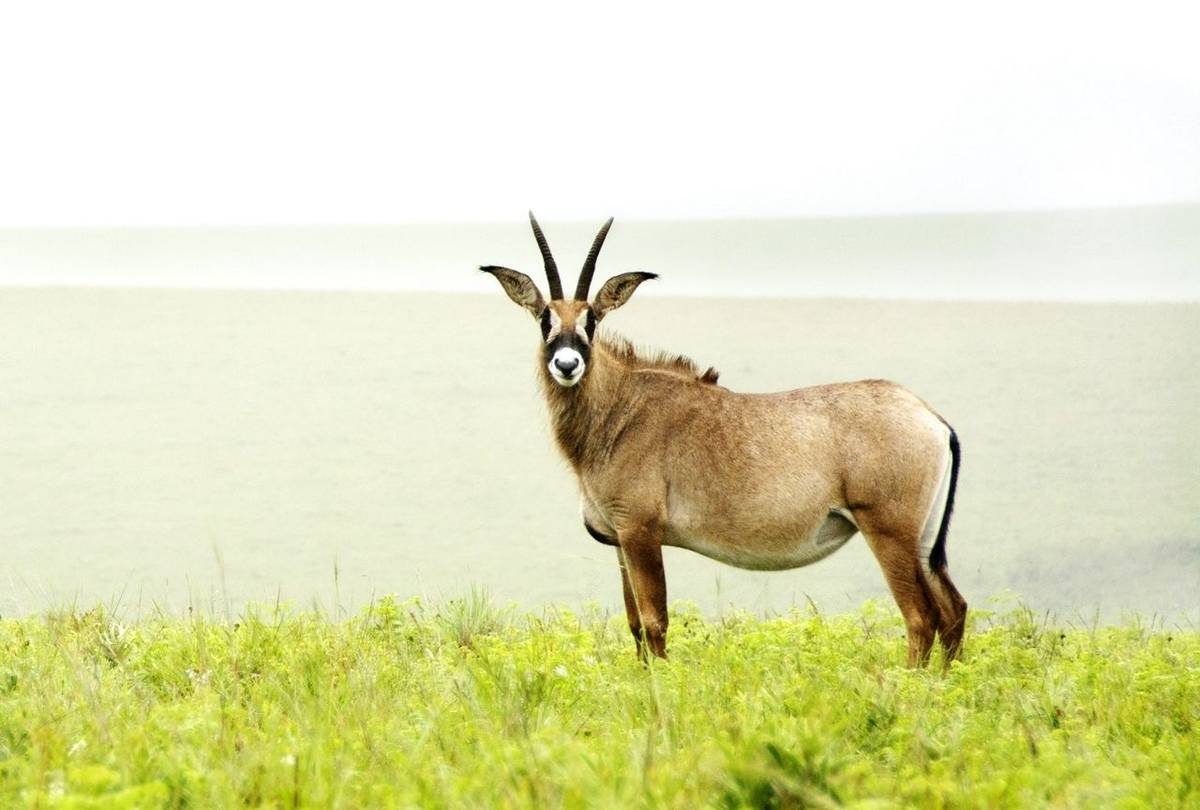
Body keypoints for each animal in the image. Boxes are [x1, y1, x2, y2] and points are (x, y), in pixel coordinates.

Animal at [477, 216, 964, 667]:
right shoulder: (618, 539)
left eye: (592, 320)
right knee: (952, 610)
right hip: (921, 542)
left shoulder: (641, 532)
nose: (567, 364)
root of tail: (932, 418)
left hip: (888, 531)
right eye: (545, 318)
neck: (621, 407)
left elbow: (654, 622)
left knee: (921, 617)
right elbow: (634, 625)